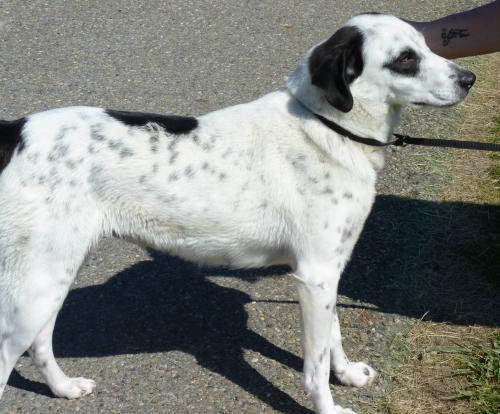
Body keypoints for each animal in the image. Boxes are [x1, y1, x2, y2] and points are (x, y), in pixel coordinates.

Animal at [0, 13, 474, 414]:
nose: (470, 78)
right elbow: (315, 367)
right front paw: (328, 405)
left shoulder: (328, 272)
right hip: (38, 284)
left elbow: (333, 338)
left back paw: (63, 388)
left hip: (52, 277)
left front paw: (347, 374)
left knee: (40, 343)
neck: (325, 127)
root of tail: (15, 130)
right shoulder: (315, 275)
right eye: (406, 58)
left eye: (426, 45)